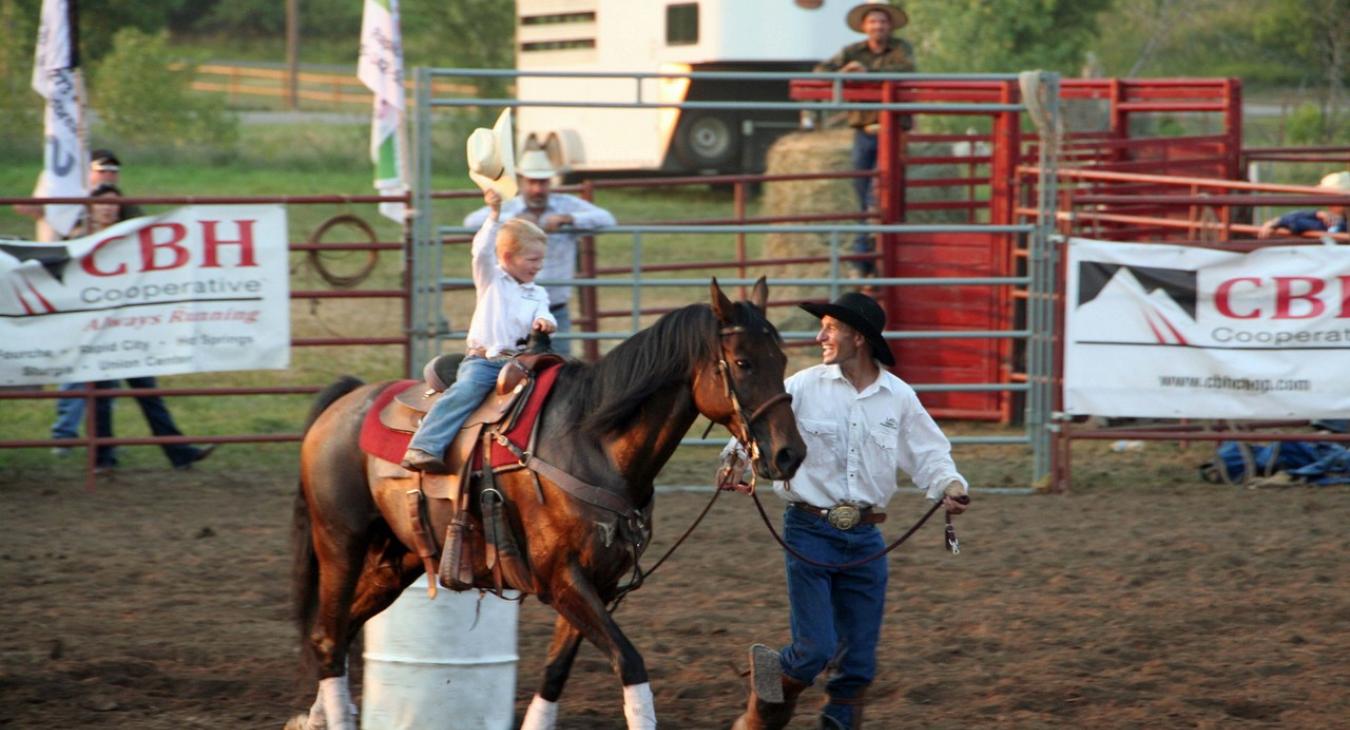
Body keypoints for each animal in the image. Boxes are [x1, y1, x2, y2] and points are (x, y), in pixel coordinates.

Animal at [291, 276, 804, 723]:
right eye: (743, 363)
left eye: (781, 359)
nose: (790, 453)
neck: (593, 442)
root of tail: (346, 401)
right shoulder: (562, 578)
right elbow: (630, 663)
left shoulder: (598, 582)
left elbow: (556, 673)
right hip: (340, 543)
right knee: (327, 637)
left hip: (397, 560)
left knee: (337, 635)